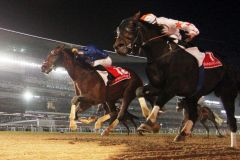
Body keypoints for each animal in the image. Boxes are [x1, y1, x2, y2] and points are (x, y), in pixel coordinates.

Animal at [113, 12, 240, 148]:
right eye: (118, 30)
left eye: (131, 27)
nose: (118, 47)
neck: (163, 56)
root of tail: (231, 66)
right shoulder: (158, 86)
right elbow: (139, 91)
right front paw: (148, 114)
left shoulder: (172, 88)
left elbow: (159, 101)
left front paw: (149, 123)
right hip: (193, 96)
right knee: (194, 115)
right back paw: (182, 134)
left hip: (227, 93)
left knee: (231, 119)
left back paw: (232, 146)